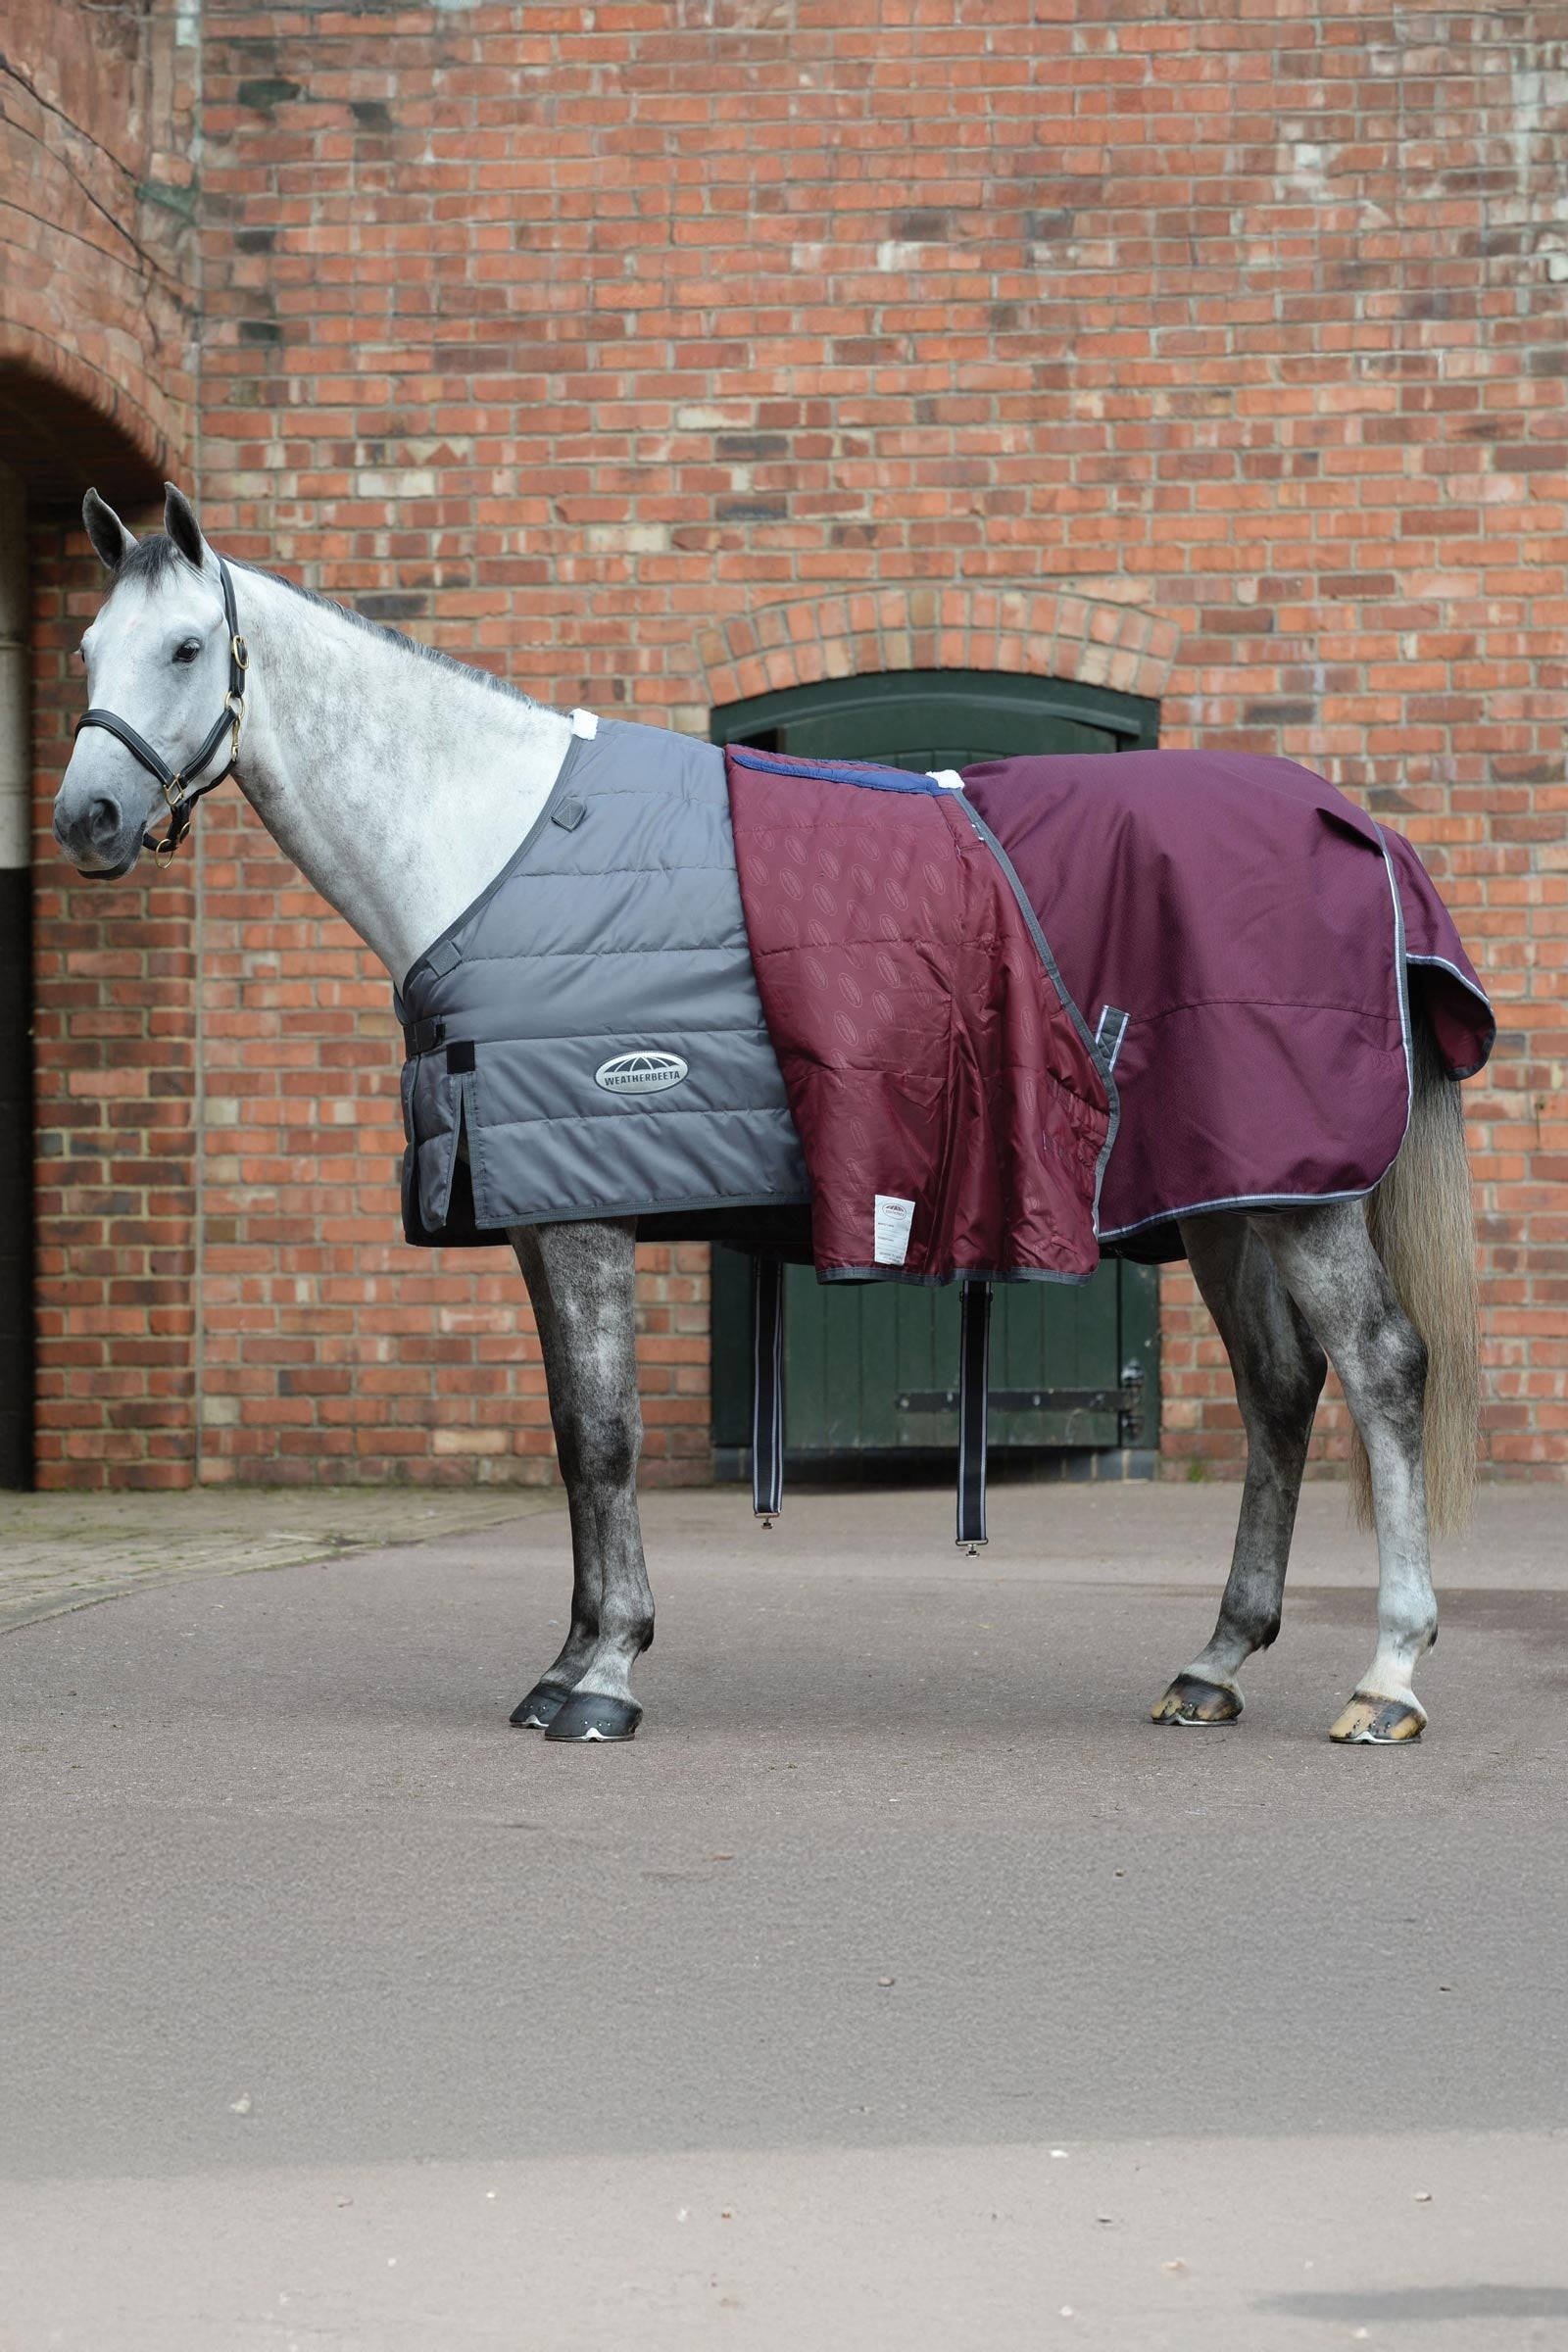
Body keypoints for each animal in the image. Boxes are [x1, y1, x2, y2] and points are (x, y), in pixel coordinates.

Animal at [51, 483, 1482, 1746]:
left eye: (187, 647)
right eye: (84, 649)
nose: (87, 818)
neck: (494, 846)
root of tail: (1354, 827)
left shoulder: (587, 1211)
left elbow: (607, 1439)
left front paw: (604, 1678)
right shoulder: (533, 1210)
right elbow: (572, 1438)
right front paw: (568, 1661)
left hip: (1298, 1196)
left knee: (1382, 1370)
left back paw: (1390, 1677)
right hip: (1229, 1196)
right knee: (1280, 1391)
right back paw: (1215, 1662)